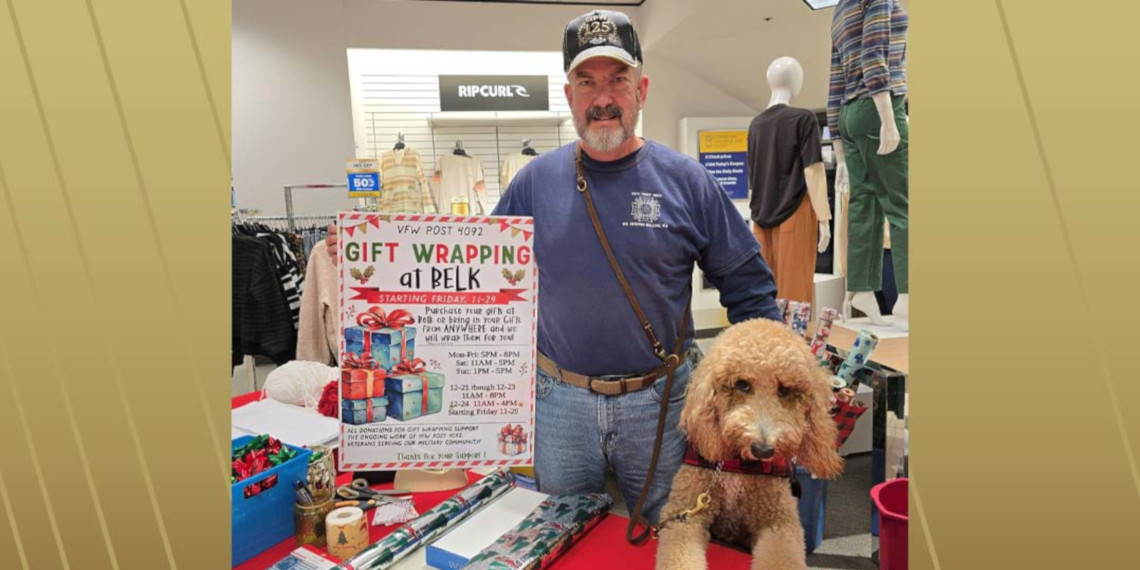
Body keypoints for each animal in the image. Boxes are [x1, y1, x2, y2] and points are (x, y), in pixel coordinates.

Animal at [656, 319, 843, 567]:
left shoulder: (779, 523)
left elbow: (782, 559)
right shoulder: (684, 516)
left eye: (784, 390)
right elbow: (680, 557)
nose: (762, 450)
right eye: (742, 384)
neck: (738, 466)